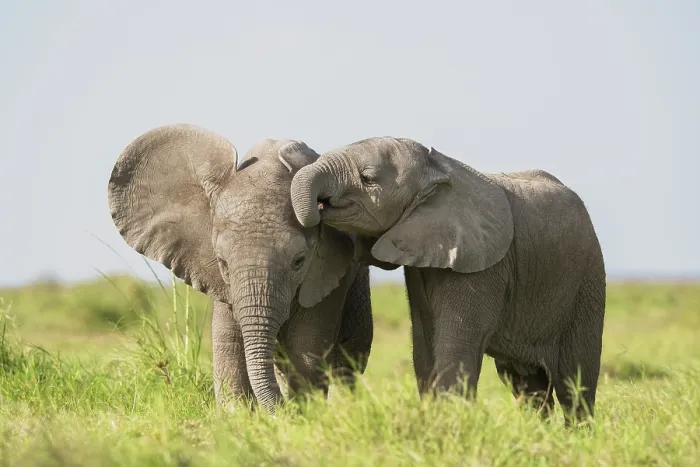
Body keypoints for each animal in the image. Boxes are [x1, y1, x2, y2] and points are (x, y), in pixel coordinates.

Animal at [107, 124, 373, 412]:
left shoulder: (330, 273)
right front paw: (238, 416)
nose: (282, 410)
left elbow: (306, 346)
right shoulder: (221, 282)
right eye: (223, 263)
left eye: (299, 261)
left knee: (348, 358)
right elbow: (228, 342)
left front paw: (302, 413)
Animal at [290, 136, 606, 424]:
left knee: (575, 381)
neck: (438, 171)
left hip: (587, 281)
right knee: (527, 384)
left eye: (367, 179)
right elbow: (424, 350)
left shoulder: (481, 267)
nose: (317, 210)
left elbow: (456, 347)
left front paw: (450, 427)